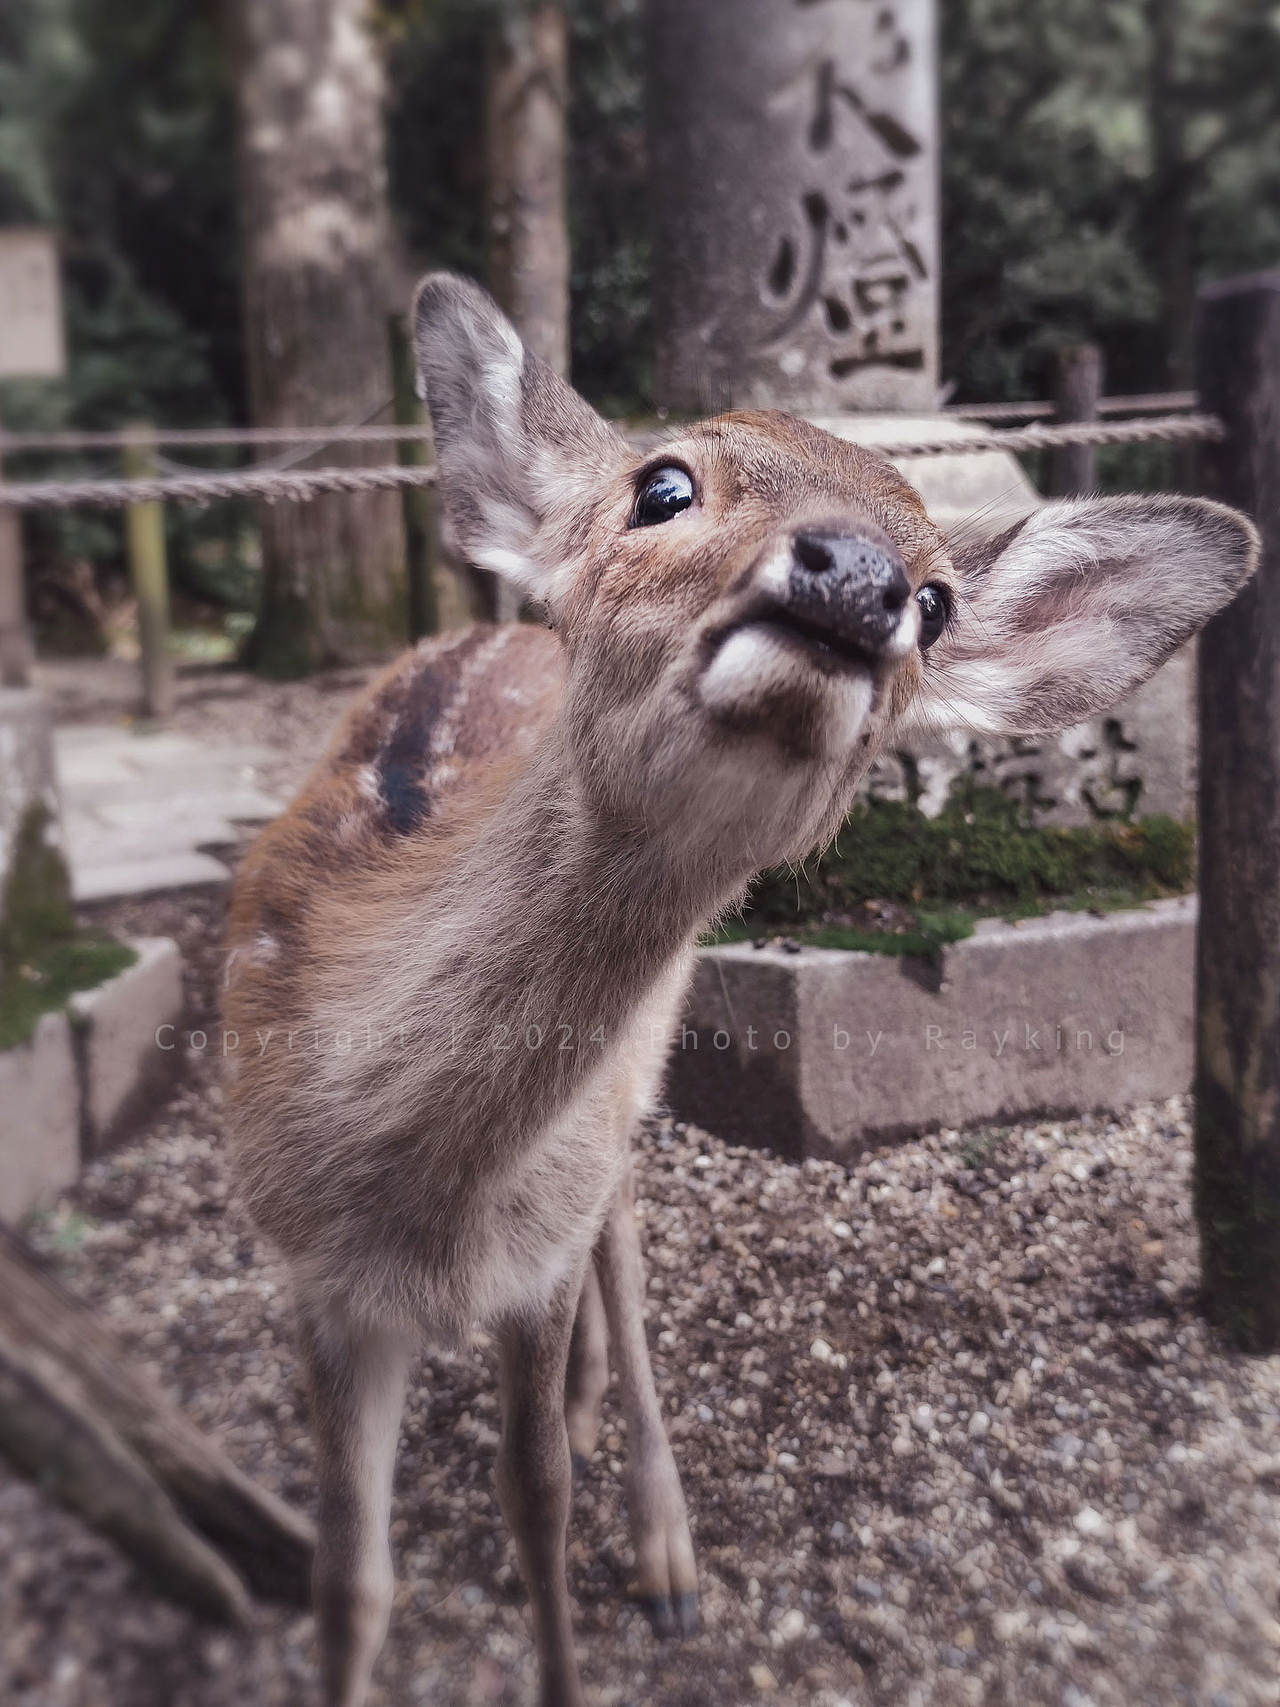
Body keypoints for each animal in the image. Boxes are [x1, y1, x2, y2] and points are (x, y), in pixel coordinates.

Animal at [223, 272, 1258, 1707]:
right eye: (663, 485)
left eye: (939, 603)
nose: (859, 578)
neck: (417, 1209)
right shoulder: (314, 1278)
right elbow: (347, 1584)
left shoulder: (535, 1246)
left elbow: (533, 1499)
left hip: (636, 1076)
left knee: (625, 1238)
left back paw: (661, 1542)